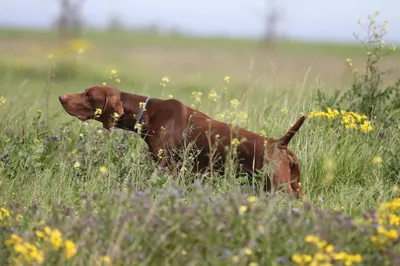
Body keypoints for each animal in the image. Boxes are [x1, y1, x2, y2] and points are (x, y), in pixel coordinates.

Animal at [57, 84, 304, 197]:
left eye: (89, 95)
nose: (61, 97)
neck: (147, 112)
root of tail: (279, 143)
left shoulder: (167, 166)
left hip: (280, 187)